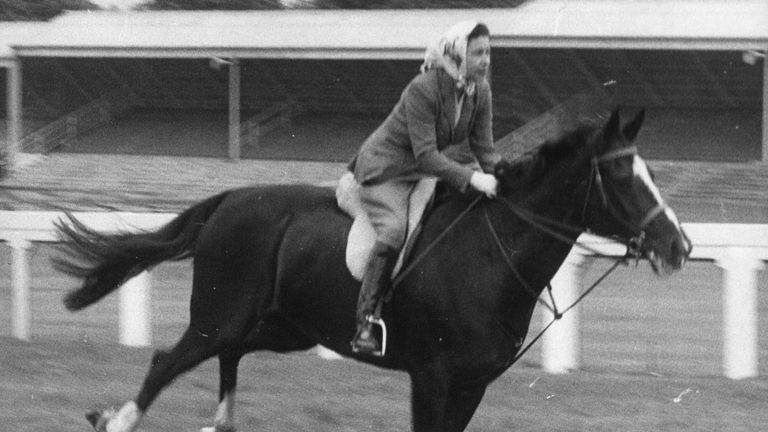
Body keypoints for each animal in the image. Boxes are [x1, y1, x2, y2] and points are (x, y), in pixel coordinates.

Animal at [54, 108, 688, 432]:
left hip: (280, 327)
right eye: (624, 176)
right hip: (219, 316)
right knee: (167, 361)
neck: (488, 258)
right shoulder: (431, 377)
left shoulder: (472, 383)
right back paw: (114, 419)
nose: (678, 246)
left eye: (651, 172)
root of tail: (228, 199)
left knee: (230, 356)